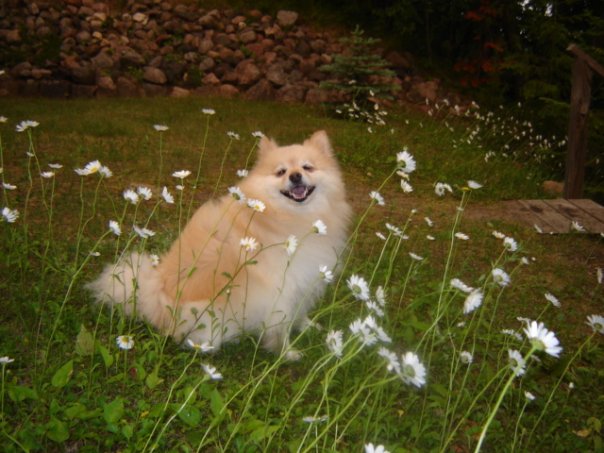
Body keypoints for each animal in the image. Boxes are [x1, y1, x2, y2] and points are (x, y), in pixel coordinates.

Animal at [86, 131, 350, 360]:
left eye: (307, 167)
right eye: (281, 172)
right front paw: (287, 353)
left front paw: (307, 325)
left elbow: (301, 308)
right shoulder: (281, 288)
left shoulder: (306, 278)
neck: (288, 217)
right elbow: (280, 326)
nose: (295, 176)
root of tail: (151, 296)